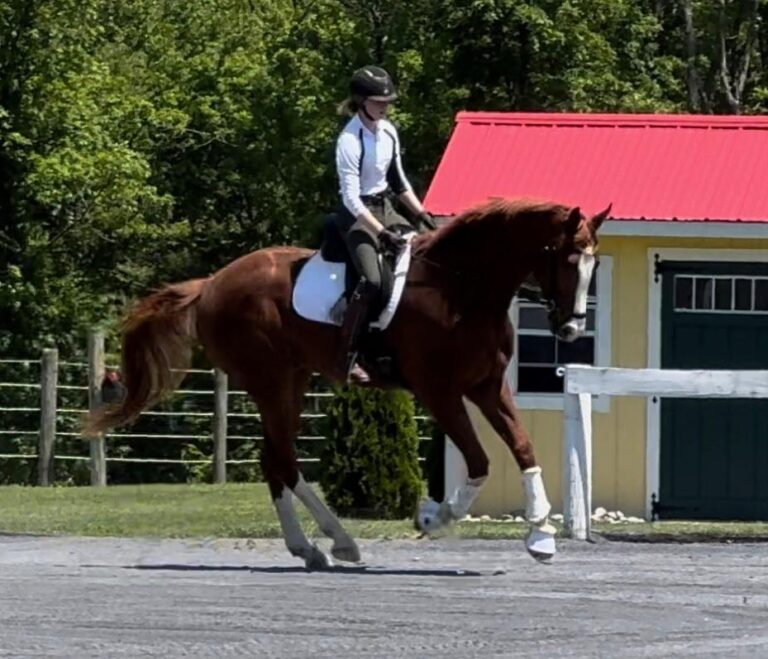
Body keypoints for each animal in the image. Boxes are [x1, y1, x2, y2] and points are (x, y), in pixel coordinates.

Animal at [87, 196, 608, 568]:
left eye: (594, 266)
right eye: (567, 260)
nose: (570, 329)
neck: (461, 288)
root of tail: (212, 283)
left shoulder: (487, 386)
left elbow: (522, 447)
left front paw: (540, 535)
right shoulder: (439, 391)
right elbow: (480, 460)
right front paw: (433, 516)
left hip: (291, 380)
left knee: (274, 461)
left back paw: (312, 547)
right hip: (272, 382)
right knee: (283, 459)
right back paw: (336, 542)